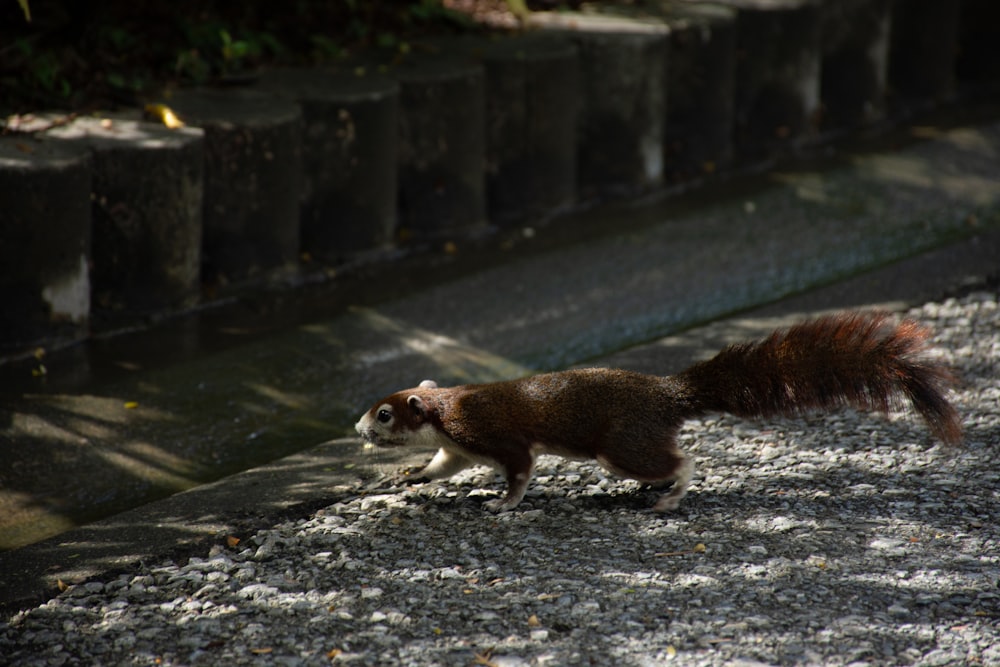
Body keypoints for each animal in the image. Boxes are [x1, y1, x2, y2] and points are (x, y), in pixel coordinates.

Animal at [354, 312, 960, 512]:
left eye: (383, 414)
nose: (357, 428)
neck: (445, 409)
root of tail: (669, 394)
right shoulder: (456, 446)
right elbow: (441, 468)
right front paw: (412, 477)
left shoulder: (489, 433)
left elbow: (520, 469)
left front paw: (503, 504)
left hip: (621, 445)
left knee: (682, 460)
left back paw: (669, 496)